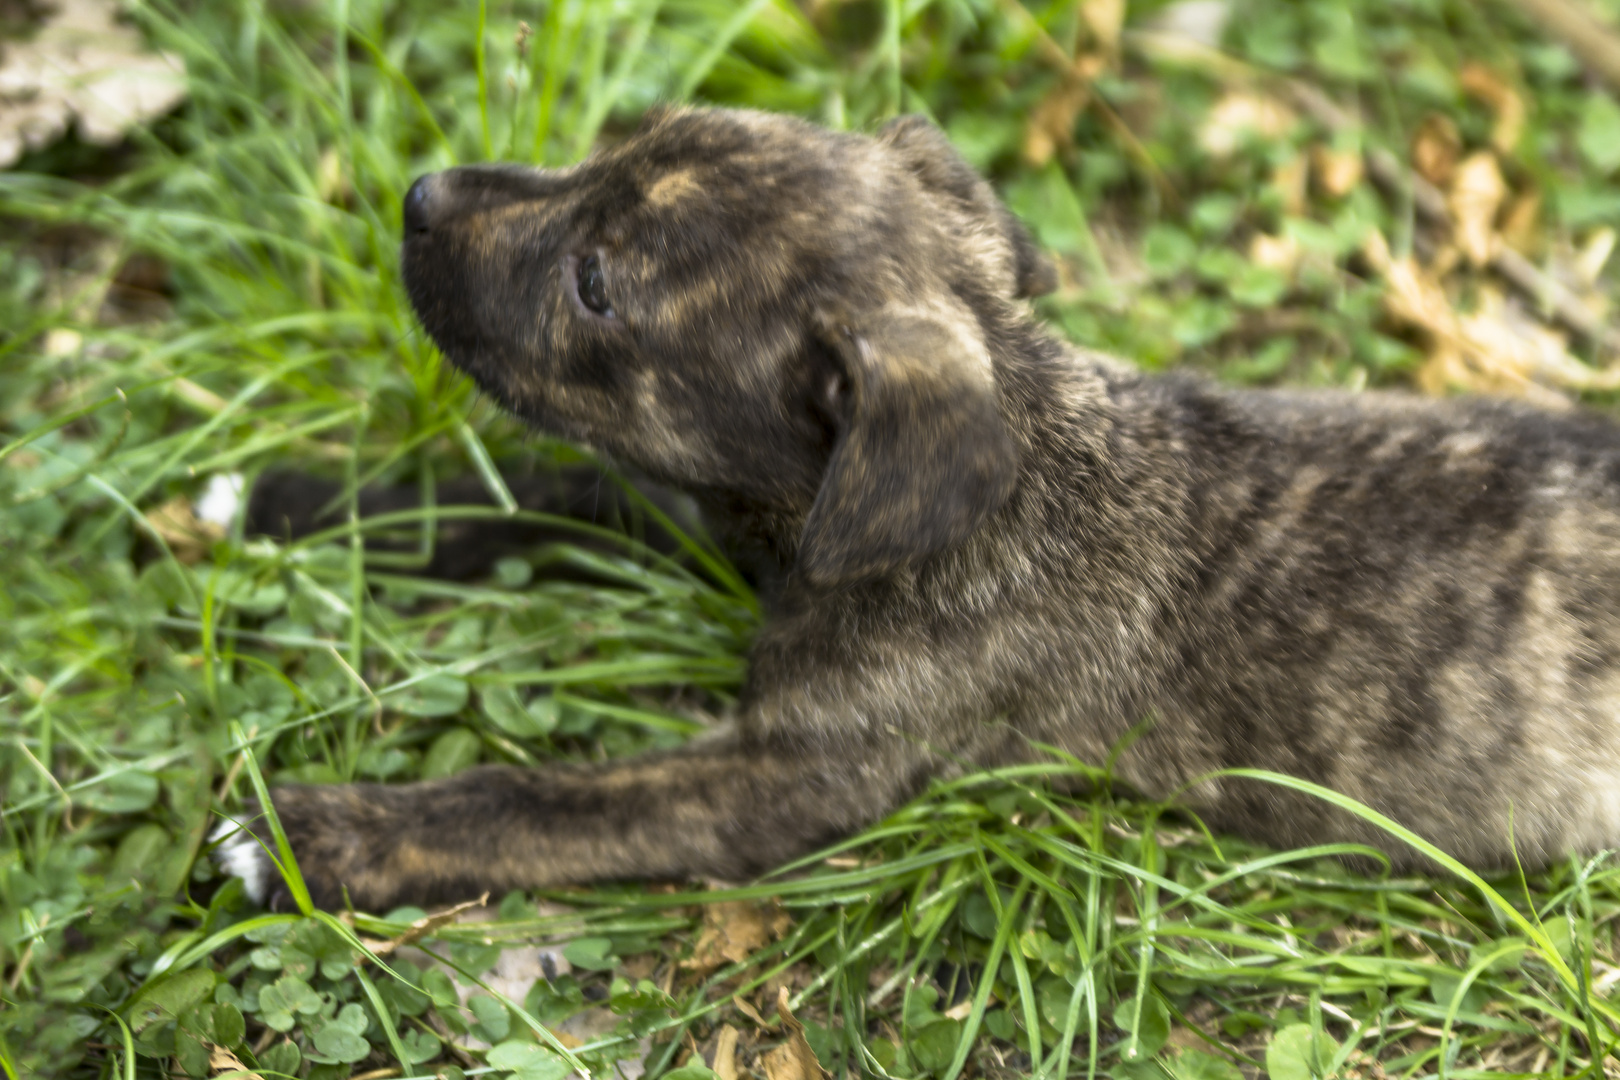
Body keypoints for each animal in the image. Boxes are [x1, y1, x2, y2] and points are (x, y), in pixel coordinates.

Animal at [218, 105, 1620, 913]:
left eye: (596, 286)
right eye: (604, 149)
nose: (419, 197)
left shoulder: (780, 780)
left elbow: (542, 804)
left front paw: (323, 836)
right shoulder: (711, 511)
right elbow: (562, 496)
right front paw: (301, 502)